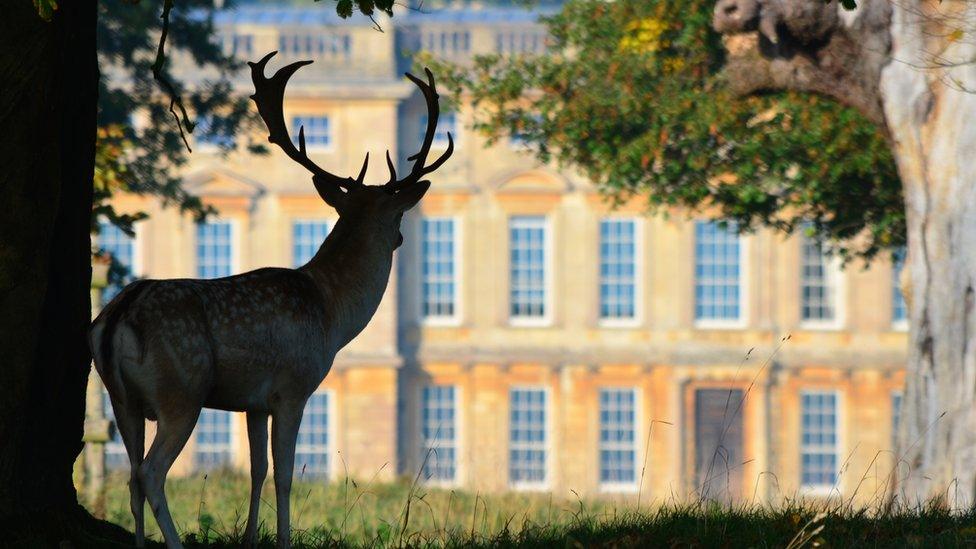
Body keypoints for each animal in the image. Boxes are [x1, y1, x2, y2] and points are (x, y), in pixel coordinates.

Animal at [89, 49, 456, 544]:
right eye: (395, 215)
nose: (399, 238)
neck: (330, 312)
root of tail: (118, 315)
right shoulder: (292, 387)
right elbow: (284, 474)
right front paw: (282, 538)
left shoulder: (252, 402)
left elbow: (257, 470)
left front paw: (249, 538)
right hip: (181, 389)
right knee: (150, 473)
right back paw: (176, 542)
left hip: (119, 397)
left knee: (129, 475)